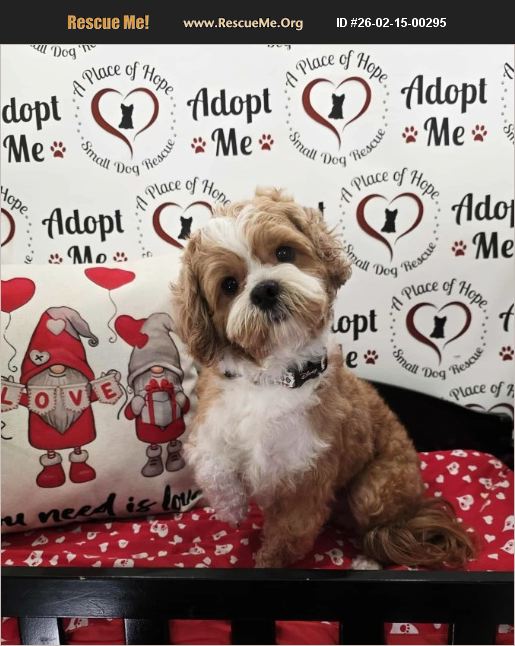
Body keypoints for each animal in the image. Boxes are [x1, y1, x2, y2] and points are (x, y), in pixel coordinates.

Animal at [172, 188, 475, 569]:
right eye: (229, 285)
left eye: (284, 252)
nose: (265, 290)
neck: (276, 376)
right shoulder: (215, 413)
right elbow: (210, 459)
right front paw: (232, 507)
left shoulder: (305, 474)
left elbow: (288, 535)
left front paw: (267, 563)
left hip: (374, 488)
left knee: (382, 531)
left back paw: (368, 560)